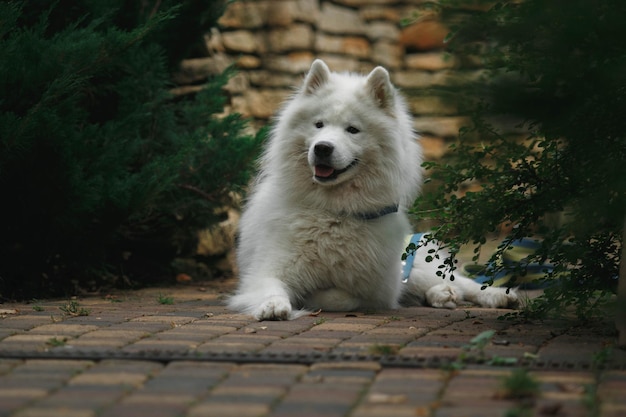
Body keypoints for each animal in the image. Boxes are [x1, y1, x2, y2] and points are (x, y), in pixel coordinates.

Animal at [227, 59, 516, 318]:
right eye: (319, 124)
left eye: (353, 129)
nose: (322, 148)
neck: (334, 212)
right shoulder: (266, 271)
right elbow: (273, 288)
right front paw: (274, 305)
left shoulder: (377, 290)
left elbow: (339, 297)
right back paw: (442, 295)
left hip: (411, 266)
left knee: (459, 281)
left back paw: (496, 295)